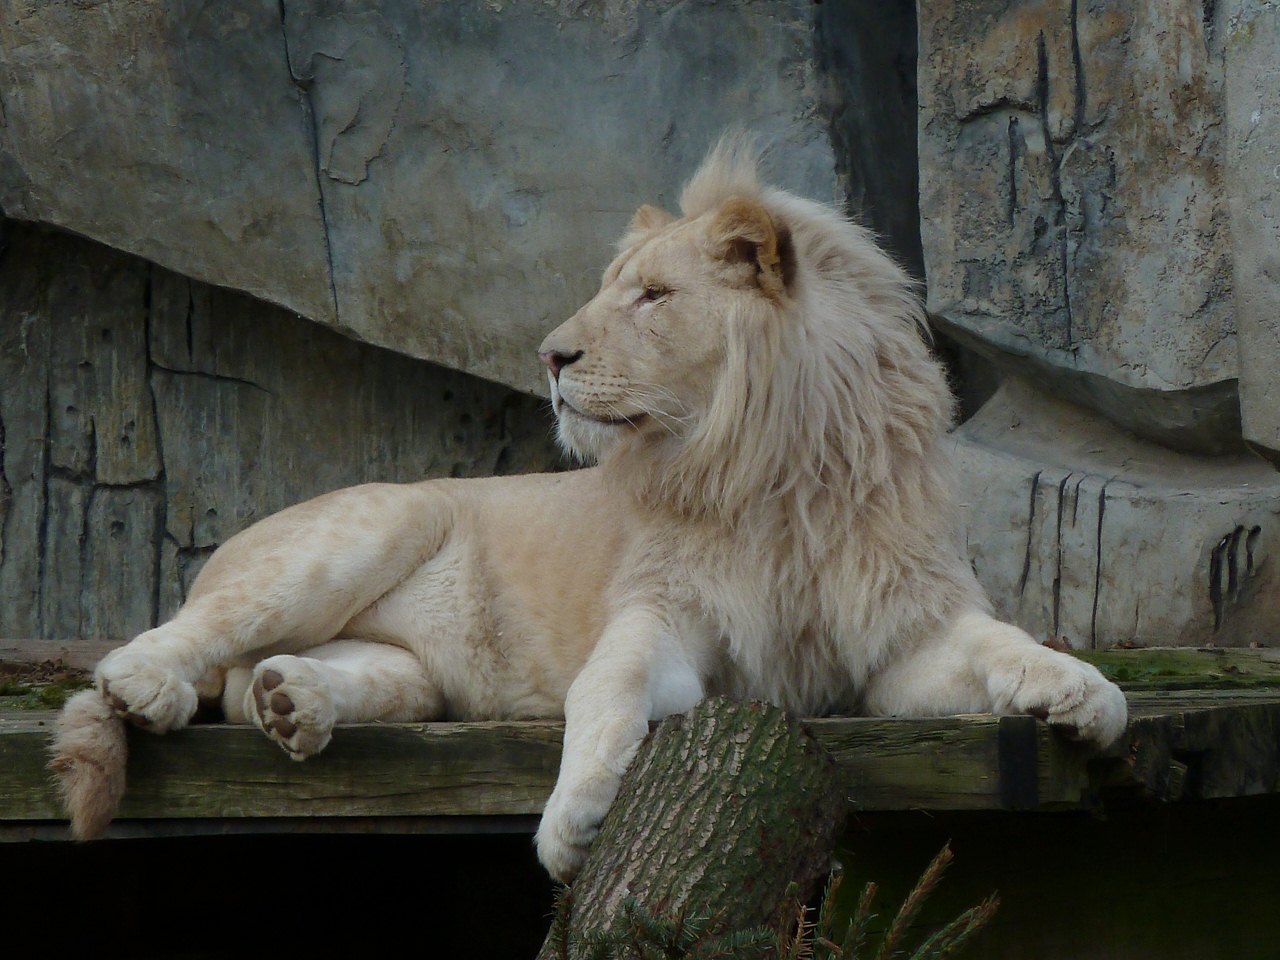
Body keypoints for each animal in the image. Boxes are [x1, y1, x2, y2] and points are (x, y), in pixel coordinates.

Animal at [51, 139, 1127, 881]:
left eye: (651, 296)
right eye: (611, 291)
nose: (549, 355)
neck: (772, 473)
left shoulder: (894, 644)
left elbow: (999, 643)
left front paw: (1085, 694)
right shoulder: (668, 619)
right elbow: (606, 688)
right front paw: (574, 824)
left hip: (406, 670)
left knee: (279, 679)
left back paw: (295, 705)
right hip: (376, 522)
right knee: (184, 636)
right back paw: (151, 686)